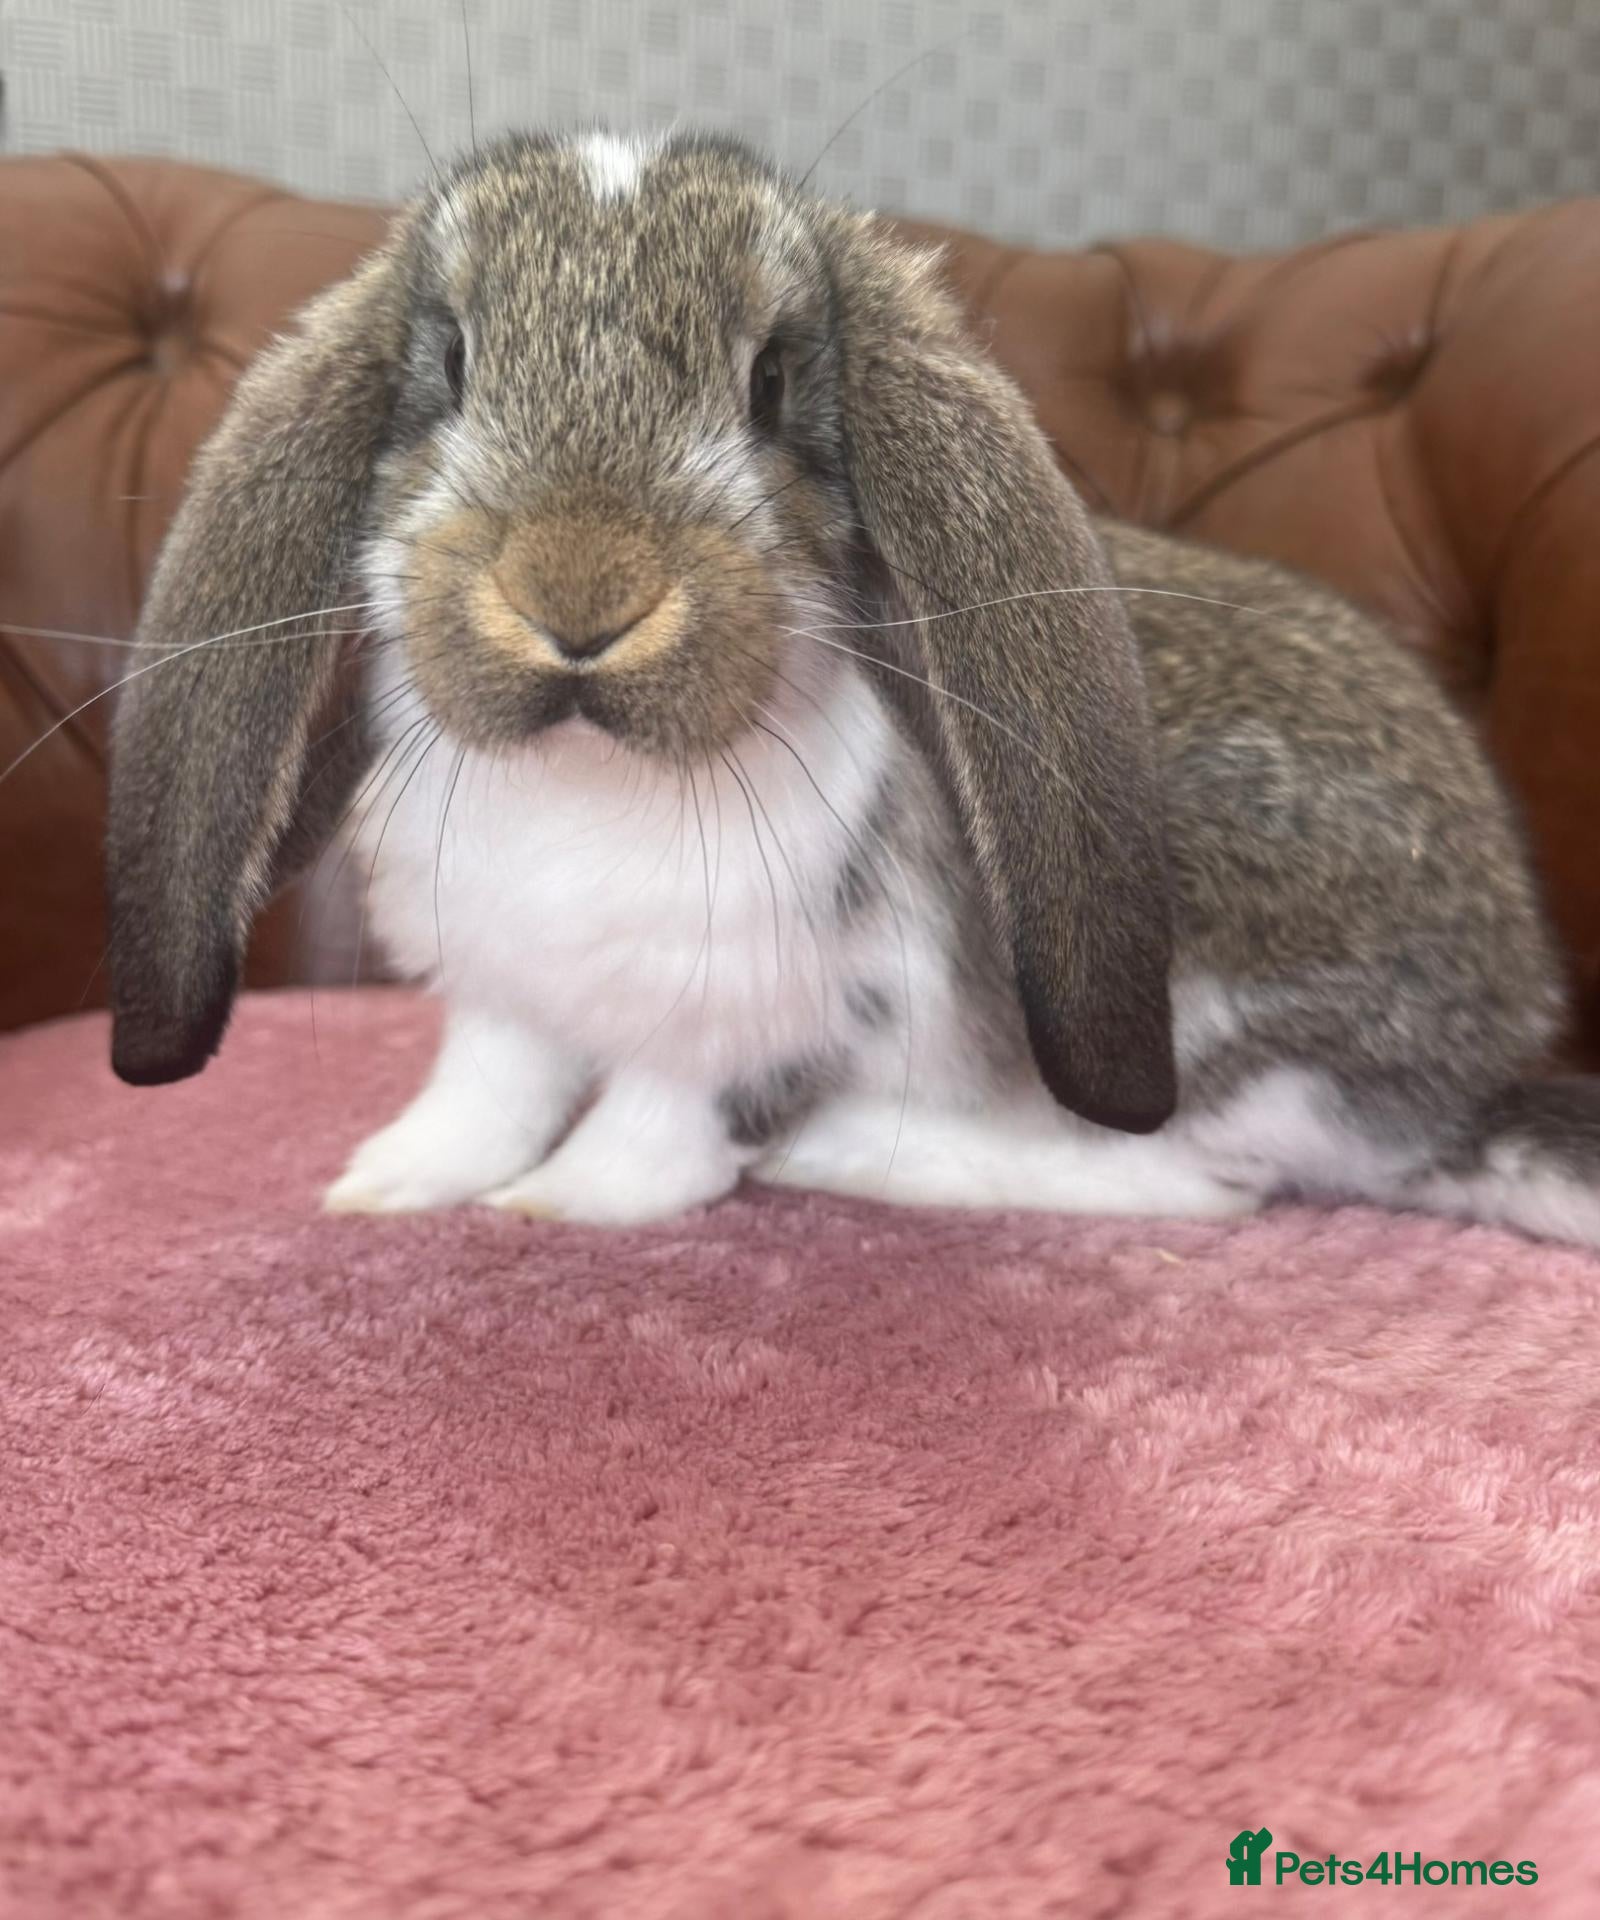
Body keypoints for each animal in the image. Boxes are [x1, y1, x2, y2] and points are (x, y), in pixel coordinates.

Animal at [105, 129, 1600, 1243]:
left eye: (770, 384)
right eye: (454, 364)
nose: (579, 600)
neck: (594, 773)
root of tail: (1483, 1061)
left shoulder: (772, 1012)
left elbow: (666, 1119)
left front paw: (564, 1204)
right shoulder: (506, 992)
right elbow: (488, 1089)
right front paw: (393, 1182)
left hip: (1230, 1019)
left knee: (1206, 1184)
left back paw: (867, 1161)